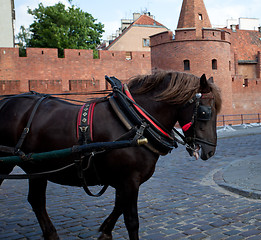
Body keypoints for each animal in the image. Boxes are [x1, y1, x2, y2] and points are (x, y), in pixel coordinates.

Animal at [0, 71, 220, 240]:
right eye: (205, 112)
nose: (210, 151)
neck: (136, 120)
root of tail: (5, 102)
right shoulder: (129, 180)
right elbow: (131, 220)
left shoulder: (125, 181)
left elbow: (118, 206)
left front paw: (105, 232)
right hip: (11, 165)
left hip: (37, 168)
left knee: (36, 201)